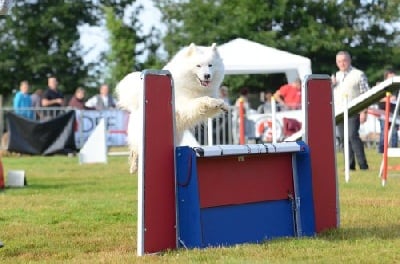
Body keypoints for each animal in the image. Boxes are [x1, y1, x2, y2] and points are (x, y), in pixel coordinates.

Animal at [115, 42, 228, 173]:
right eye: (198, 66)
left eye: (210, 65)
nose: (207, 75)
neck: (194, 85)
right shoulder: (185, 103)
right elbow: (202, 100)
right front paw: (213, 102)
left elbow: (211, 103)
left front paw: (222, 104)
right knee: (135, 150)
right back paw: (133, 166)